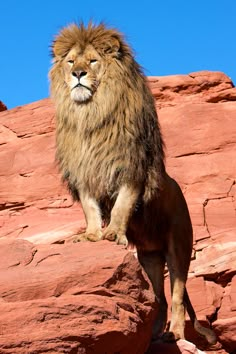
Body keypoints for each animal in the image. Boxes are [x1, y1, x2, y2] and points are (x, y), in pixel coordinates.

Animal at [48, 21, 217, 342]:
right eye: (71, 61)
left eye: (92, 61)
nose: (78, 75)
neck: (91, 115)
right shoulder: (85, 174)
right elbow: (91, 209)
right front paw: (91, 235)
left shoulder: (131, 169)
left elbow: (122, 207)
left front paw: (113, 233)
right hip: (149, 257)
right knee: (159, 299)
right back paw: (154, 336)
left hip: (178, 248)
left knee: (177, 296)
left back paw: (174, 334)